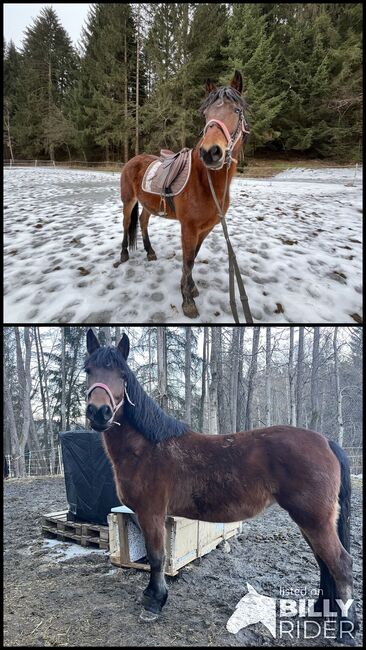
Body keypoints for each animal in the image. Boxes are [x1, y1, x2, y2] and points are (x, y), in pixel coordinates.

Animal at [84, 330, 356, 636]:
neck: (147, 449)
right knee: (324, 562)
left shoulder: (151, 513)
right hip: (310, 520)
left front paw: (154, 603)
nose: (99, 412)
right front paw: (150, 596)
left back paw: (346, 628)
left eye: (122, 374)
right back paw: (320, 611)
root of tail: (326, 441)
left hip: (314, 519)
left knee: (341, 564)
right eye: (88, 370)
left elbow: (156, 557)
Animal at [117, 69, 249, 318]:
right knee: (127, 222)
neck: (205, 182)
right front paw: (187, 300)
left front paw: (190, 288)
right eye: (206, 114)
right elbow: (187, 261)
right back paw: (123, 255)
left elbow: (194, 258)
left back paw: (150, 252)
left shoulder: (205, 229)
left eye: (237, 110)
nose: (210, 152)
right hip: (128, 201)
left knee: (143, 221)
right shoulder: (188, 227)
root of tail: (133, 160)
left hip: (148, 205)